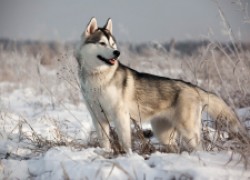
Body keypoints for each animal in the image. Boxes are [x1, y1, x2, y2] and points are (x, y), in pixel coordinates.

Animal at [75, 17, 242, 152]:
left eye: (112, 44)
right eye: (102, 43)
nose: (117, 53)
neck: (98, 77)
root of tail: (193, 87)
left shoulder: (120, 114)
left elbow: (125, 142)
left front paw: (128, 155)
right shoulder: (97, 117)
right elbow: (104, 141)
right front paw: (106, 153)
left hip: (188, 131)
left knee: (198, 147)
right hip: (163, 134)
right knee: (174, 147)